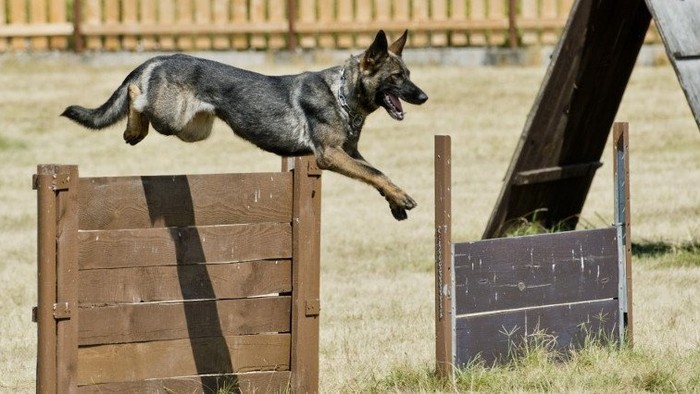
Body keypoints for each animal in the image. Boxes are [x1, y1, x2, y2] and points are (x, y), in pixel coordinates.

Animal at [63, 30, 430, 222]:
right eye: (397, 78)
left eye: (409, 75)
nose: (424, 97)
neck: (341, 94)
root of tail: (164, 56)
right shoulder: (330, 155)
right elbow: (374, 173)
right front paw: (401, 197)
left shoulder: (350, 152)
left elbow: (376, 172)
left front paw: (395, 201)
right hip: (171, 118)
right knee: (135, 94)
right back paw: (133, 129)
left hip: (193, 130)